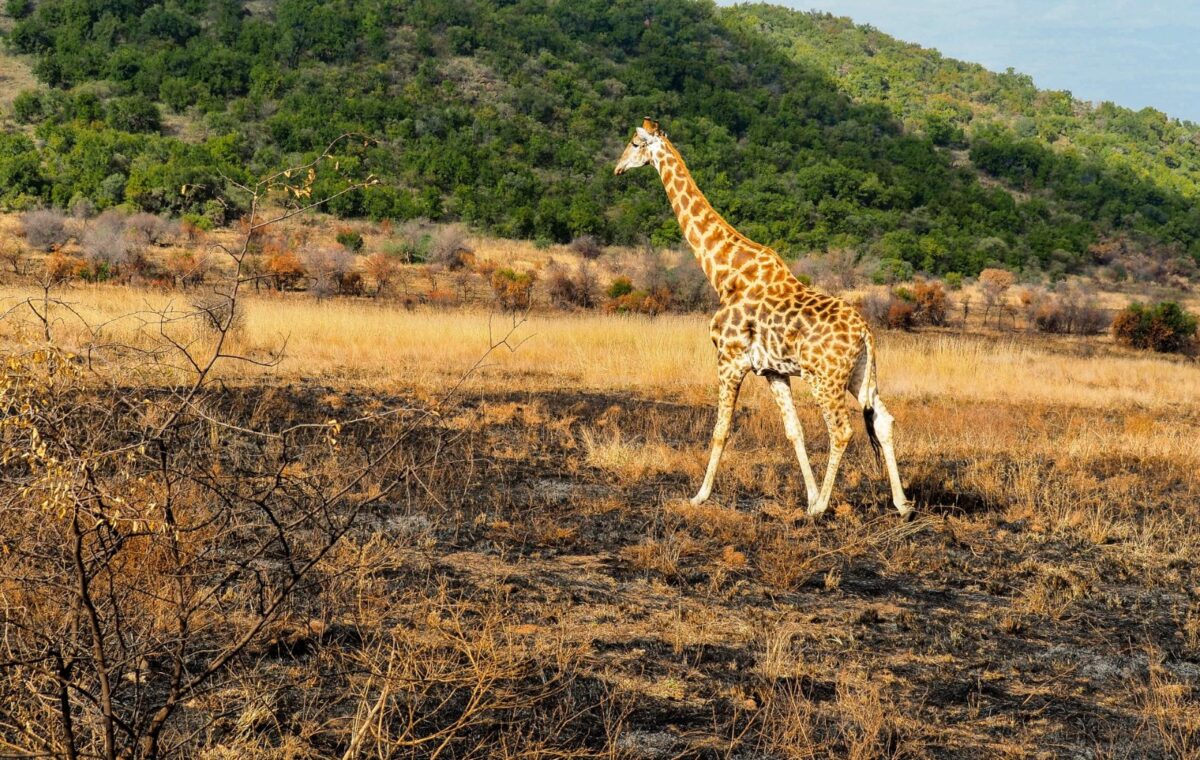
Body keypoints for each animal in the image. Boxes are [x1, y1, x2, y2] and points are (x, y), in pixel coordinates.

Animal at [614, 118, 911, 519]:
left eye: (634, 143)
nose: (617, 168)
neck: (724, 272)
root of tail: (866, 332)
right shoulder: (772, 370)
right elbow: (793, 431)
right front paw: (810, 495)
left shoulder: (729, 359)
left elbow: (721, 429)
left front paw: (700, 495)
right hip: (858, 375)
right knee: (882, 420)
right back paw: (901, 503)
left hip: (825, 379)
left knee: (841, 430)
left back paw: (822, 509)